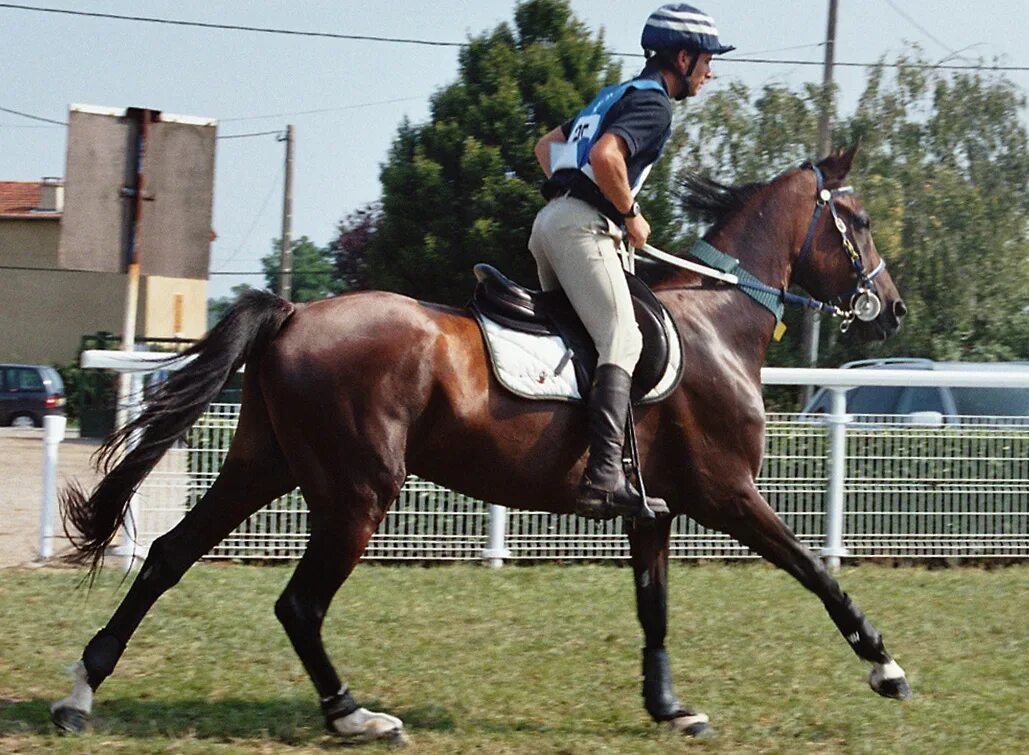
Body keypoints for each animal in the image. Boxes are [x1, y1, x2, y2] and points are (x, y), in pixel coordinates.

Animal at [52, 146, 913, 744]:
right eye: (862, 222)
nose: (893, 309)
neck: (718, 319)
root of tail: (295, 314)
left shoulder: (656, 510)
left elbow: (654, 607)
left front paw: (668, 707)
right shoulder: (725, 491)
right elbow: (814, 570)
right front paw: (884, 663)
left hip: (264, 464)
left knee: (168, 555)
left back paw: (80, 692)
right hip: (358, 491)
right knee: (298, 602)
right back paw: (353, 715)